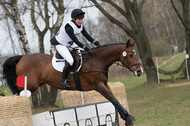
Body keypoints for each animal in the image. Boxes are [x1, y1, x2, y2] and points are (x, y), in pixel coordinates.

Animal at [2, 40, 142, 125]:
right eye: (130, 55)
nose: (139, 72)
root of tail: (22, 58)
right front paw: (128, 118)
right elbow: (113, 99)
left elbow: (114, 99)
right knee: (19, 92)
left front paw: (126, 117)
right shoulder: (98, 86)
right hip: (30, 85)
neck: (97, 60)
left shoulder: (104, 84)